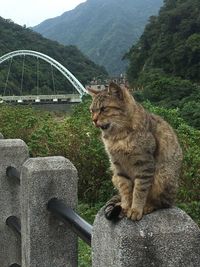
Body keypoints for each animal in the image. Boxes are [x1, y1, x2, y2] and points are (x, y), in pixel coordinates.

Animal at [87, 83, 183, 222]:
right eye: (92, 110)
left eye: (104, 109)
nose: (93, 120)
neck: (117, 137)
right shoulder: (119, 167)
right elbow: (126, 191)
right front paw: (125, 207)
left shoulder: (144, 165)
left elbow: (139, 191)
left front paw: (136, 210)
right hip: (114, 176)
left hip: (163, 176)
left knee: (163, 203)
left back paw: (148, 206)